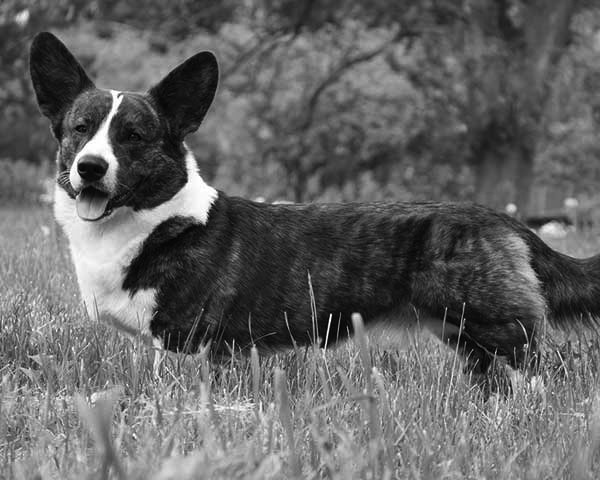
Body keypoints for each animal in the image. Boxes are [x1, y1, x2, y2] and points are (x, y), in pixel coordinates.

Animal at [29, 31, 600, 376]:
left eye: (134, 136)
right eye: (80, 129)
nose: (90, 168)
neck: (152, 222)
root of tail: (508, 222)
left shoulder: (184, 342)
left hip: (500, 330)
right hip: (469, 339)